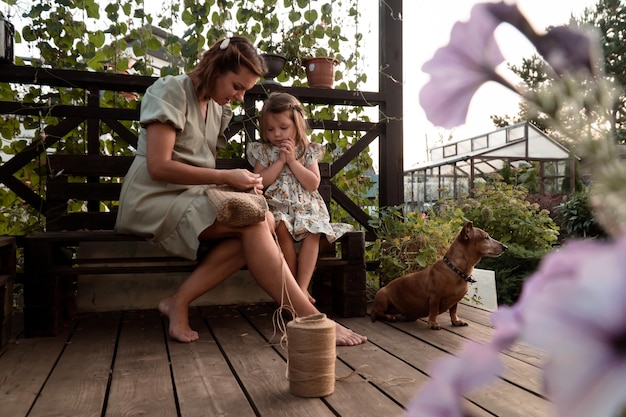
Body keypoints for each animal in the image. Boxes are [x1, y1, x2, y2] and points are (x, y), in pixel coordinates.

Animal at [368, 221, 504, 328]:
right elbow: (433, 310)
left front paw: (456, 321)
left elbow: (453, 311)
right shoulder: (434, 297)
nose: (505, 247)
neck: (455, 270)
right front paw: (433, 323)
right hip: (383, 297)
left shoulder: (455, 301)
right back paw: (390, 316)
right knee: (379, 313)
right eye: (486, 237)